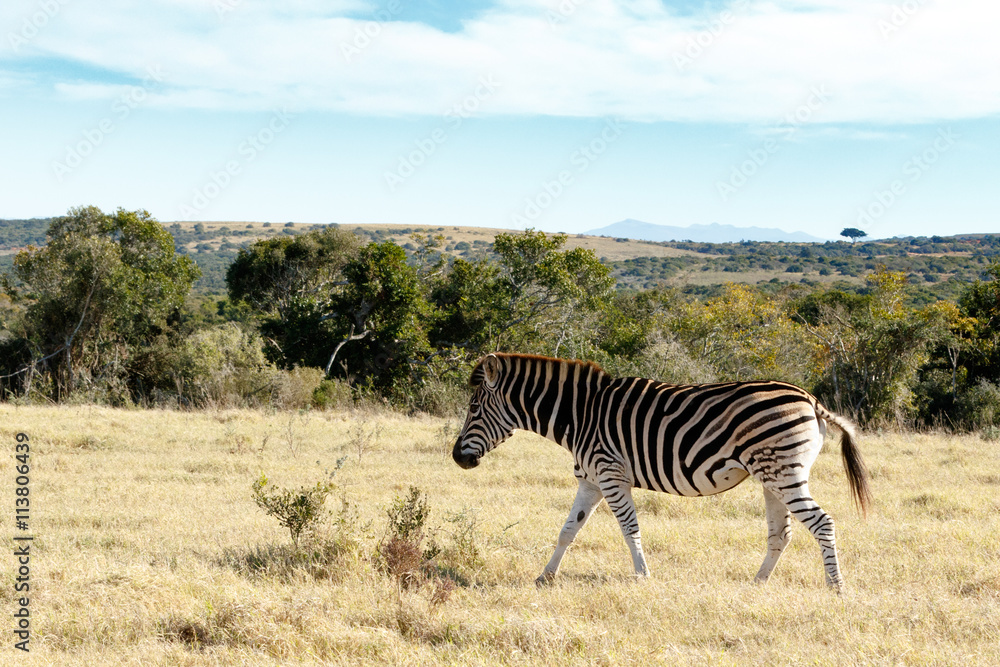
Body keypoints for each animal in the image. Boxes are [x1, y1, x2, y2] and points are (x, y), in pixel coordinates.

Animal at [452, 353, 872, 589]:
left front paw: (642, 576)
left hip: (783, 471)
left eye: (473, 409)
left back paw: (836, 587)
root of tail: (811, 400)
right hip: (773, 477)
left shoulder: (611, 474)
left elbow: (629, 528)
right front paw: (544, 578)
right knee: (780, 533)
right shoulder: (590, 480)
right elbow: (568, 530)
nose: (457, 458)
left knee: (822, 522)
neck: (580, 414)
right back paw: (758, 583)